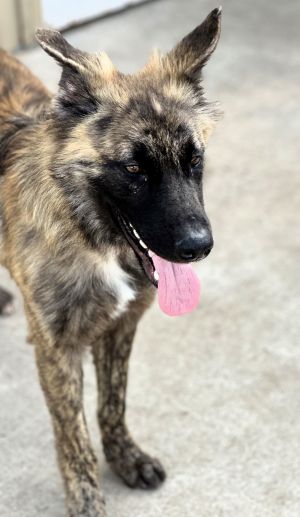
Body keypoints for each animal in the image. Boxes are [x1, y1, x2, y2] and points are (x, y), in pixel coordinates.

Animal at [0, 8, 220, 516]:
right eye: (134, 168)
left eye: (194, 160)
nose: (199, 247)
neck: (91, 237)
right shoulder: (58, 349)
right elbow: (73, 435)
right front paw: (86, 500)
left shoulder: (121, 326)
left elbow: (112, 403)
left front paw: (125, 457)